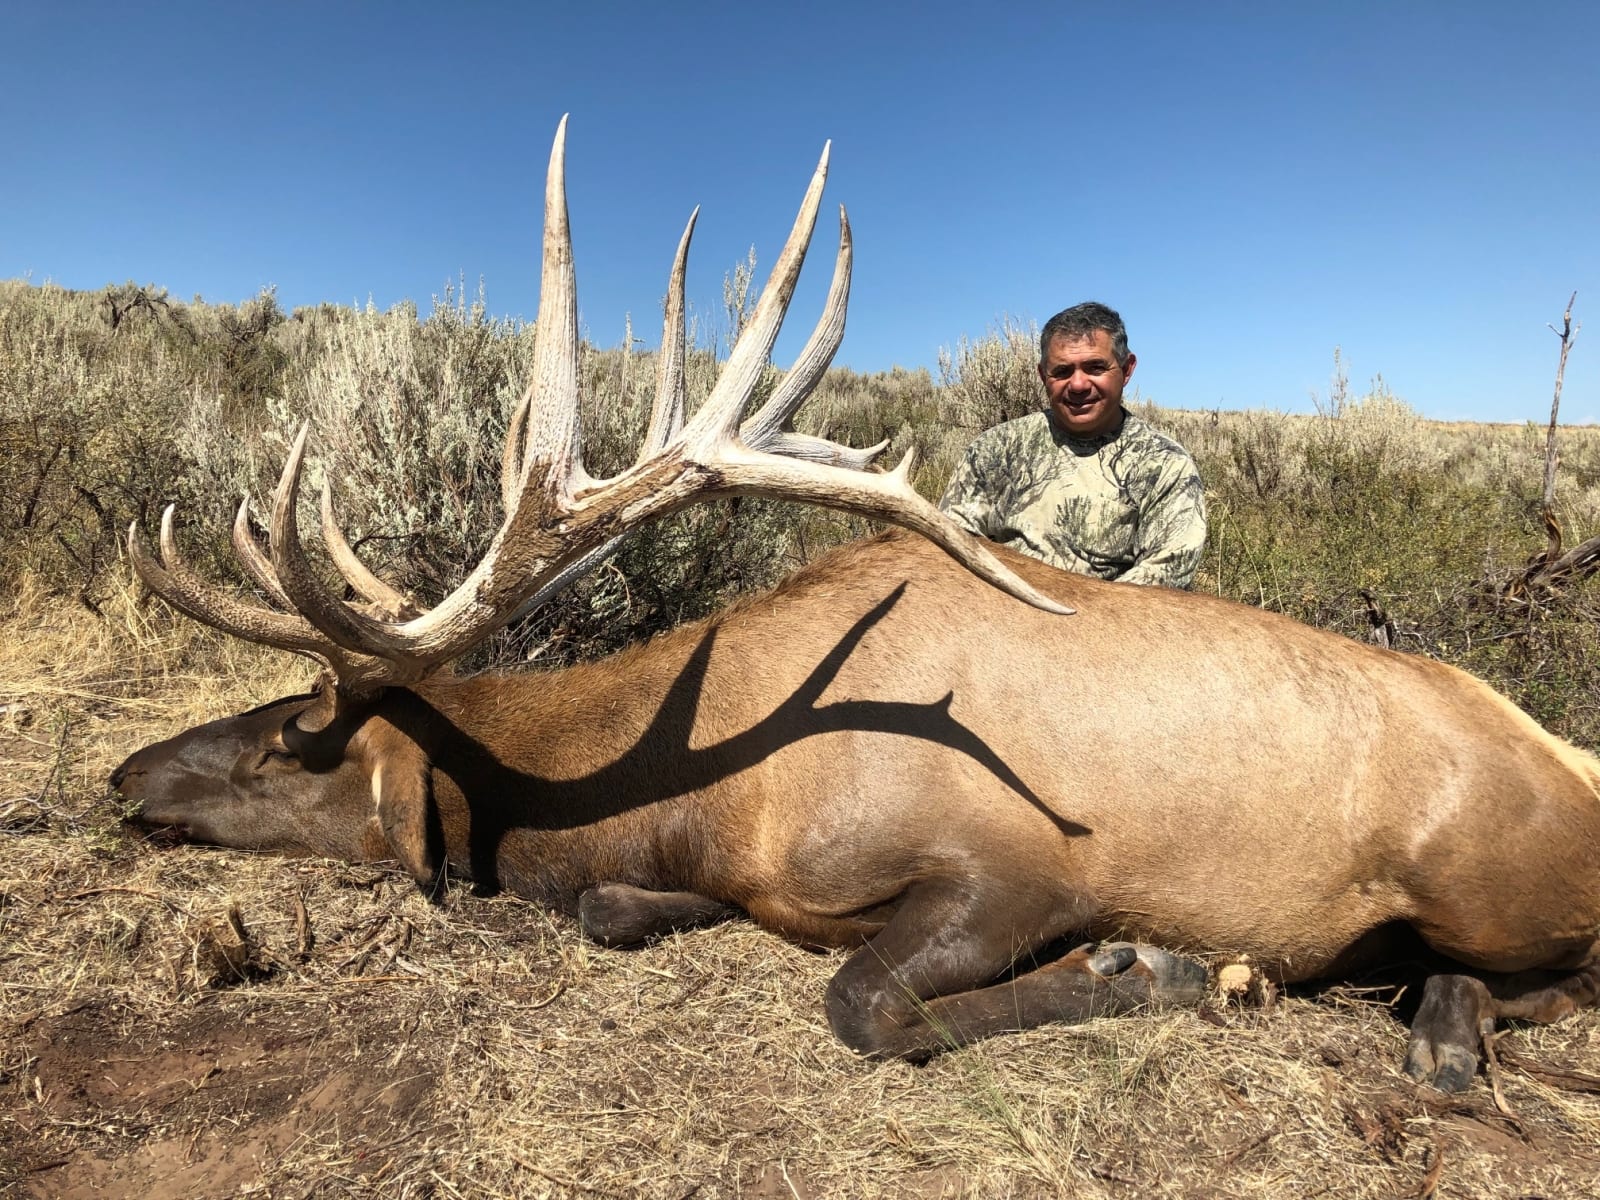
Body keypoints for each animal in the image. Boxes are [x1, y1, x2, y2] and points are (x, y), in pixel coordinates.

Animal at [110, 120, 1600, 1092]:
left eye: (284, 742)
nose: (122, 777)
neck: (720, 793)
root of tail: (1565, 759)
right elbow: (616, 909)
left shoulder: (1018, 864)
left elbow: (868, 1004)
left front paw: (1156, 969)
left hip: (1475, 873)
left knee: (1553, 970)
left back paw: (1434, 1038)